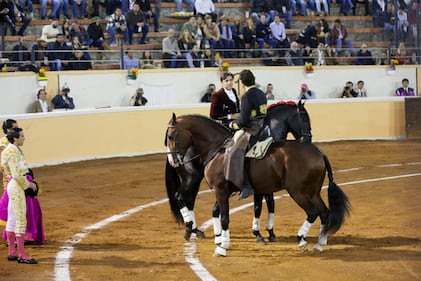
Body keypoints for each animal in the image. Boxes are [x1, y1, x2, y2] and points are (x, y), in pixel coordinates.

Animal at [164, 100, 312, 241]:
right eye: (304, 119)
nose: (308, 140)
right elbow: (261, 205)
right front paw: (261, 233)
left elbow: (267, 205)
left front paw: (268, 232)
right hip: (192, 177)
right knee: (180, 197)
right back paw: (191, 228)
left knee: (188, 201)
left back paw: (196, 230)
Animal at [166, 114, 350, 256]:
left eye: (170, 136)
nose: (174, 160)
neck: (218, 149)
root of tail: (317, 152)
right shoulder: (227, 191)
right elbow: (221, 212)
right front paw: (222, 239)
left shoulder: (221, 190)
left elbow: (226, 216)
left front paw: (223, 247)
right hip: (313, 192)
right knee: (324, 213)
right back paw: (319, 244)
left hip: (299, 193)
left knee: (313, 212)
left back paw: (302, 240)